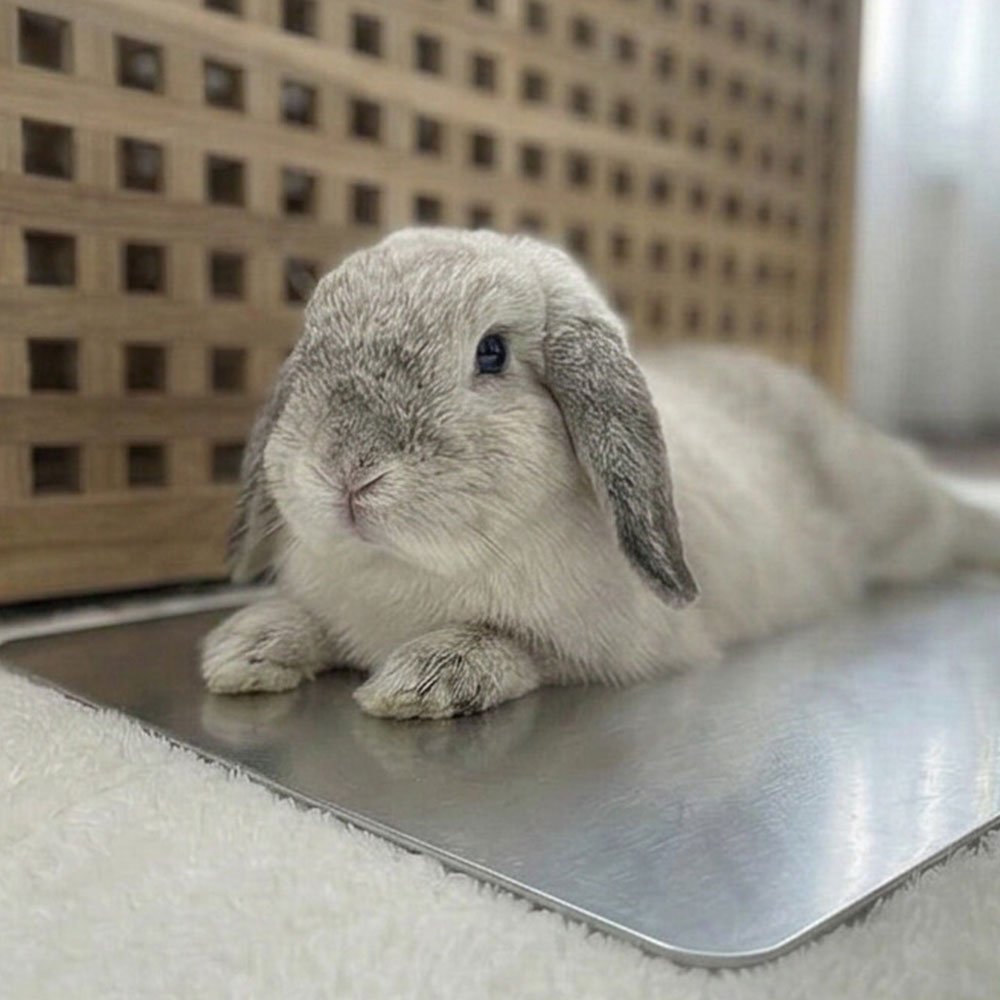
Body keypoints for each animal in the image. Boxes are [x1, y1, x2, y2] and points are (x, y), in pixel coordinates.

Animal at [200, 227, 1000, 719]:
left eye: (491, 352)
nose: (346, 473)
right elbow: (303, 622)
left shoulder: (591, 653)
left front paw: (419, 684)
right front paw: (241, 652)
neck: (406, 570)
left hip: (901, 517)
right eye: (313, 343)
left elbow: (508, 646)